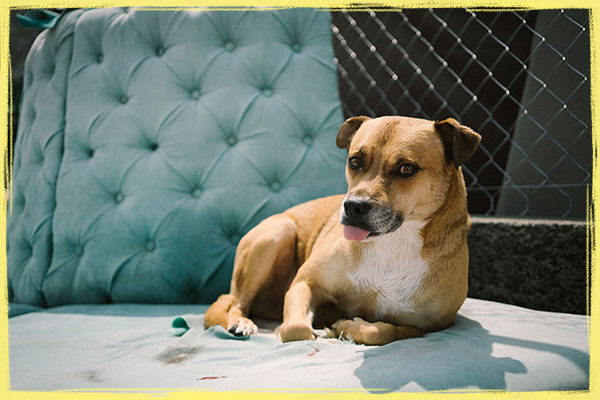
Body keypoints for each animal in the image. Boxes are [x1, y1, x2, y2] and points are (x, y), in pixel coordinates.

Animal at [204, 115, 480, 344]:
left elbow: (384, 332)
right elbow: (296, 328)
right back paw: (241, 323)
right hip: (277, 234)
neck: (393, 241)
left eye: (407, 168)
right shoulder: (305, 283)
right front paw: (306, 329)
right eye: (355, 161)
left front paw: (345, 327)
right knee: (236, 302)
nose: (353, 206)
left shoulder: (428, 326)